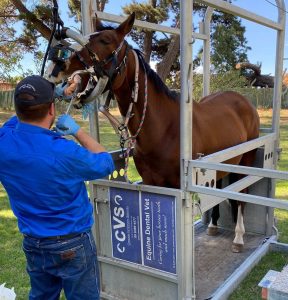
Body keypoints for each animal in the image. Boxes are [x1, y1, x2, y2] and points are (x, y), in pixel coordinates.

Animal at [45, 14, 260, 253]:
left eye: (106, 40)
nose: (61, 66)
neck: (164, 129)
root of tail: (243, 101)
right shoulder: (151, 183)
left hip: (245, 161)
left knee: (242, 196)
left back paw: (238, 237)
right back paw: (213, 226)